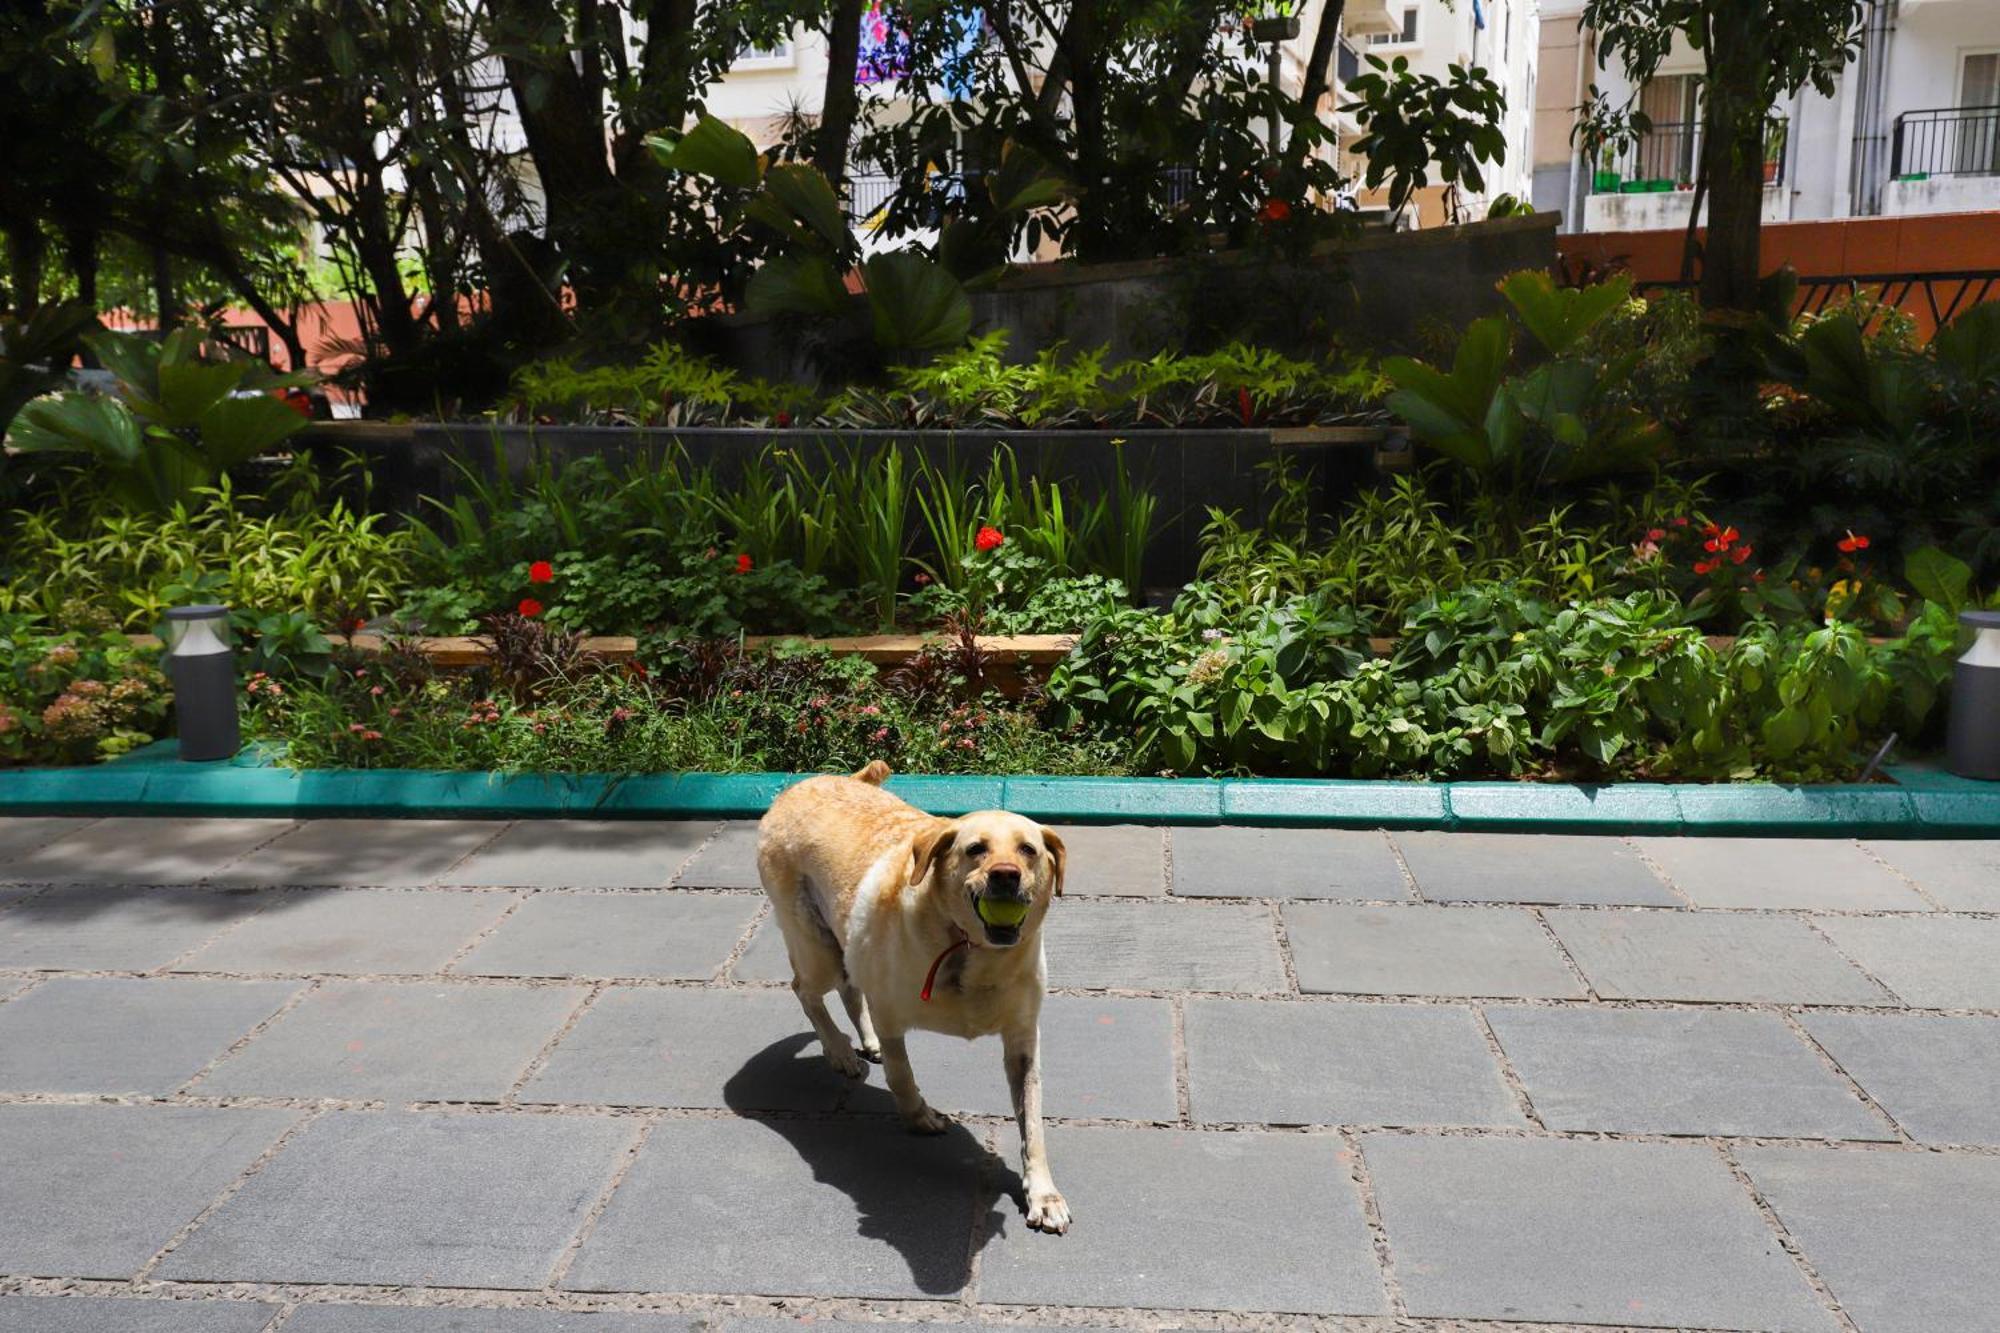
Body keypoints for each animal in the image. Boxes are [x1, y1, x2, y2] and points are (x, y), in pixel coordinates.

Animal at [756, 764, 1072, 1232]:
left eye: (1028, 850)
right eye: (976, 849)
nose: (1005, 874)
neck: (972, 953)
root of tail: (803, 783)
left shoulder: (1023, 1042)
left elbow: (1032, 1125)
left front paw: (1044, 1195)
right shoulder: (891, 1015)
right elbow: (901, 1074)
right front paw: (919, 1117)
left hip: (846, 945)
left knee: (850, 989)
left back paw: (863, 1044)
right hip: (818, 949)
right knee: (805, 990)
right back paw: (840, 1052)